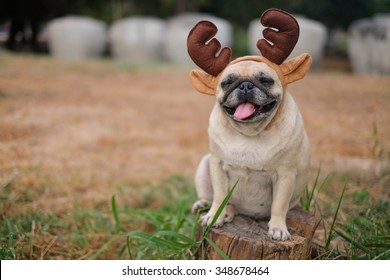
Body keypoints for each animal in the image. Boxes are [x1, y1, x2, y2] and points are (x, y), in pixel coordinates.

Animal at [187, 8, 312, 241]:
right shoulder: (217, 165)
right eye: (227, 82)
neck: (249, 133)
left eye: (265, 80)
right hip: (204, 165)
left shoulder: (285, 174)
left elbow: (279, 205)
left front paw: (278, 229)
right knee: (212, 197)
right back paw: (209, 207)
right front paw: (215, 216)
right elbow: (219, 195)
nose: (245, 85)